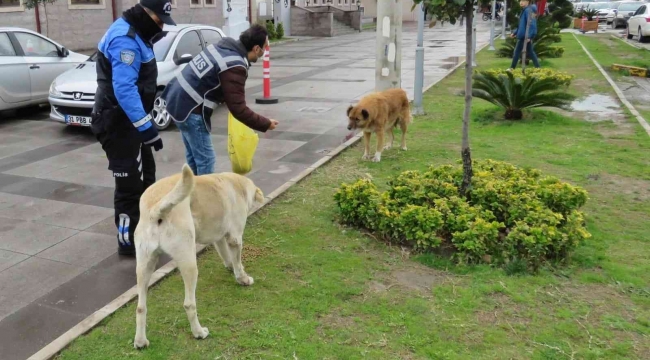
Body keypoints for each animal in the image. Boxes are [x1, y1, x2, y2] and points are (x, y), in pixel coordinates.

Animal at [132, 165, 264, 348]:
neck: (237, 184)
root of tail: (155, 210)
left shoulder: (219, 237)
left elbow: (226, 255)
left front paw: (230, 267)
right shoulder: (235, 238)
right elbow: (237, 261)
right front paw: (243, 278)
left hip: (144, 265)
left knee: (140, 307)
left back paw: (140, 341)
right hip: (188, 263)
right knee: (189, 304)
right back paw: (199, 333)